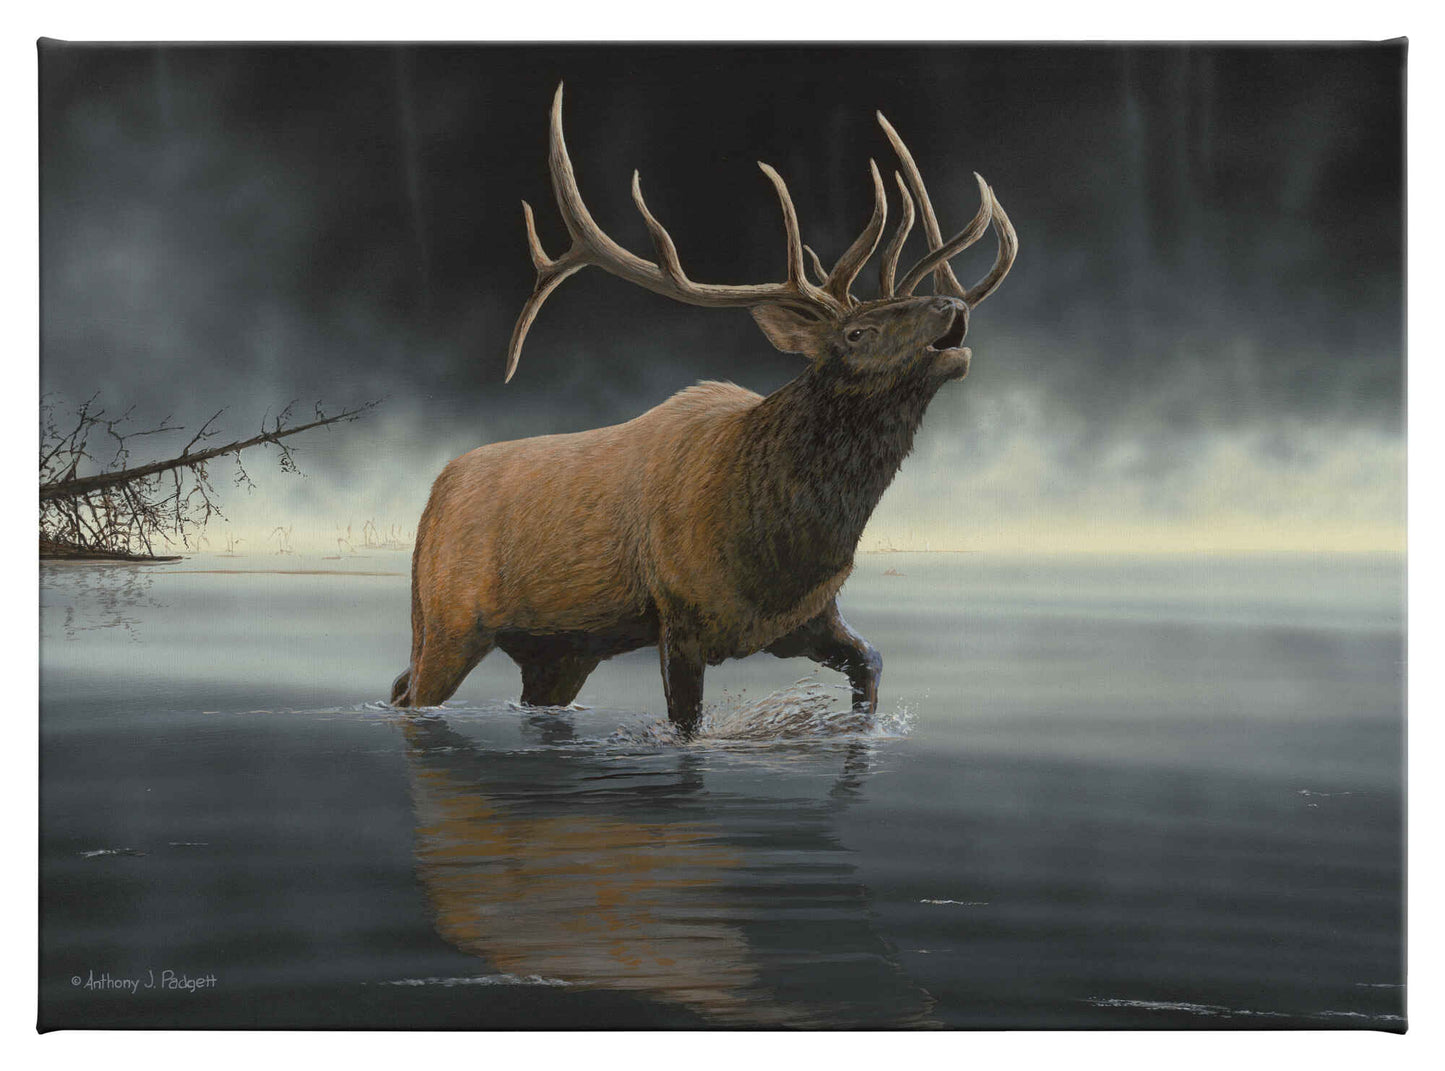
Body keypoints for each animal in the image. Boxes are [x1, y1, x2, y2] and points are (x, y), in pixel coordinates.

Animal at [390, 84, 1017, 733]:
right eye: (856, 333)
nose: (951, 306)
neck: (782, 544)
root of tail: (434, 495)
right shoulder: (682, 616)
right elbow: (686, 725)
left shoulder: (802, 621)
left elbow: (870, 661)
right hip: (448, 619)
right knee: (409, 695)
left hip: (560, 651)